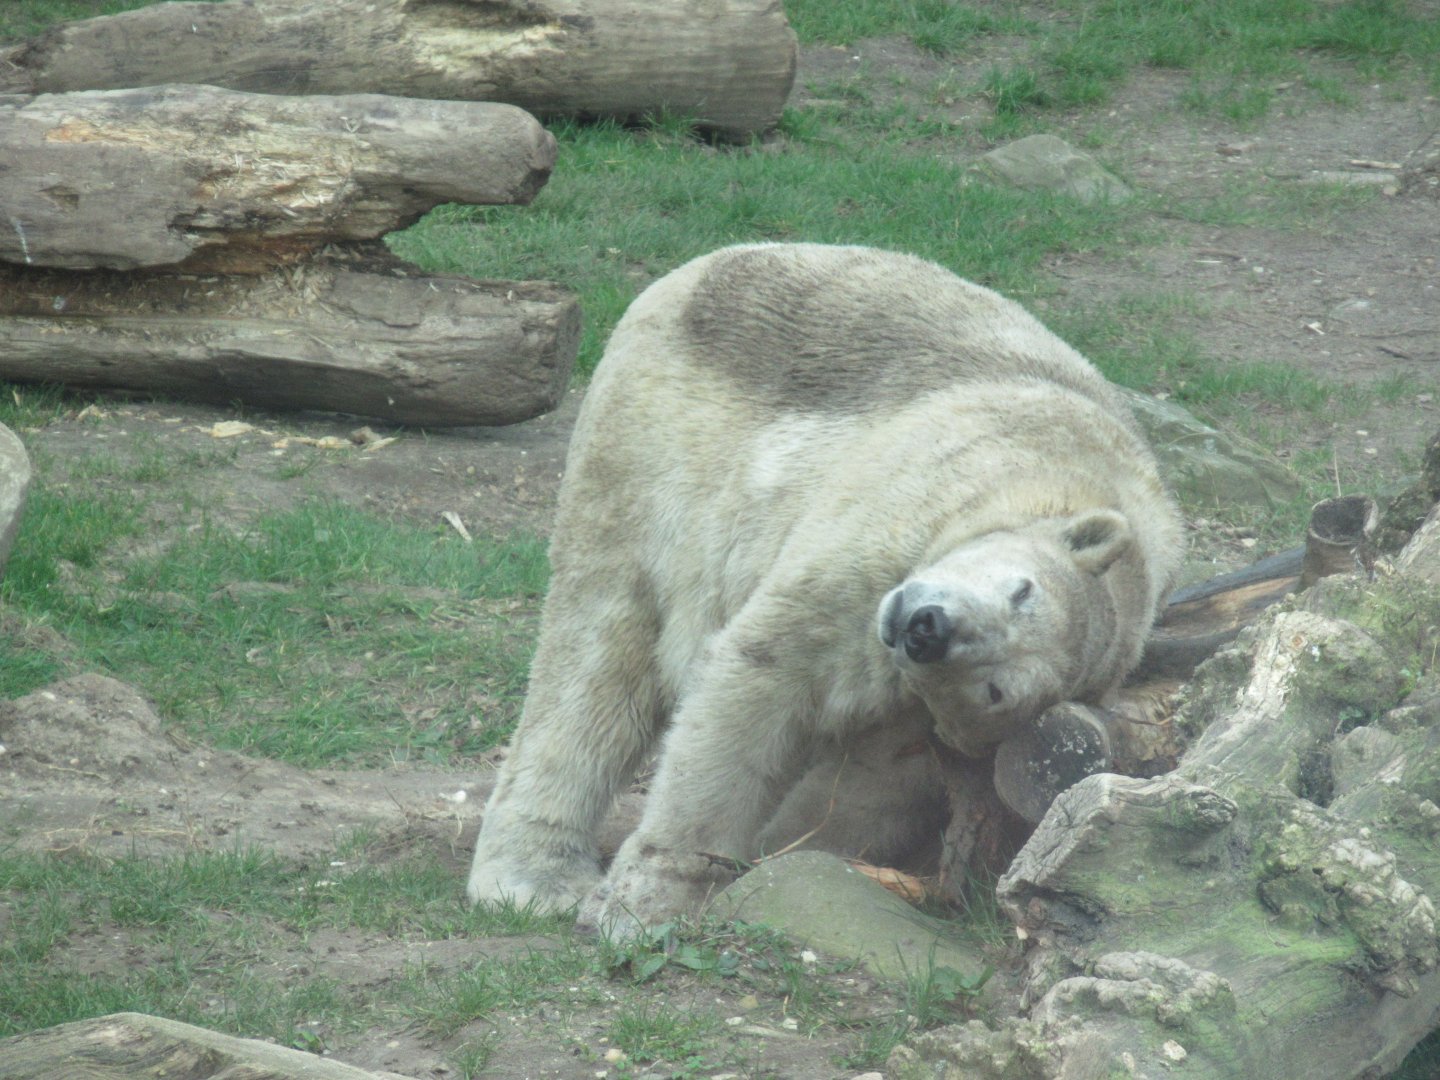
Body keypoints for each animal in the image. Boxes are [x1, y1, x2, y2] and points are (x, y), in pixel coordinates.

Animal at [466, 242, 1183, 936]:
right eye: (1021, 590)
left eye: (994, 692)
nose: (927, 628)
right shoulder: (913, 500)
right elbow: (761, 676)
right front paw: (643, 906)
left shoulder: (913, 706)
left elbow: (872, 779)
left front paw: (766, 864)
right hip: (656, 446)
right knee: (599, 648)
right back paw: (536, 878)